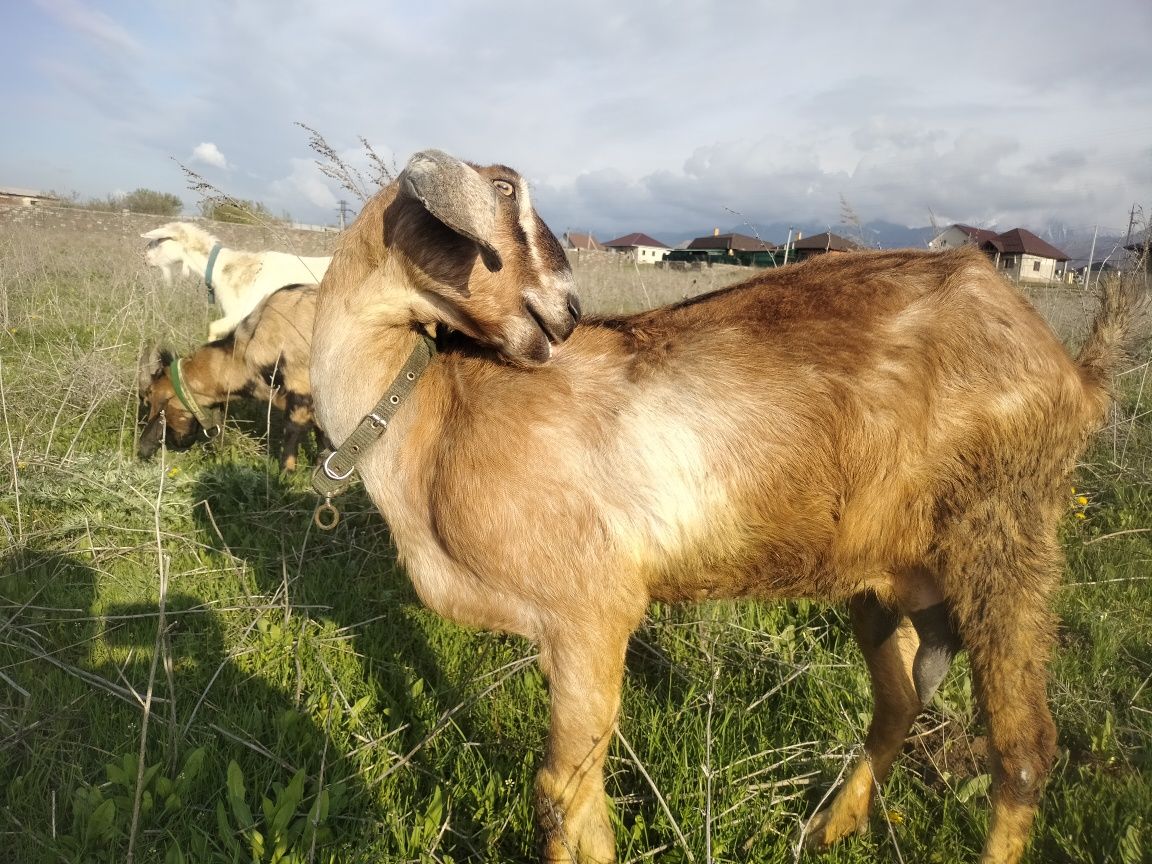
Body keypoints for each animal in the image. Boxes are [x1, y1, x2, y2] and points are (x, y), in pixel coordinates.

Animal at [306, 148, 1133, 864]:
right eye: (505, 191)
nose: (569, 312)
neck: (430, 414)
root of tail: (1073, 374)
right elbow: (575, 793)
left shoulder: (591, 610)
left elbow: (561, 793)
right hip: (886, 576)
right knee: (899, 699)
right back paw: (826, 830)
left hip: (1006, 538)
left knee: (1024, 750)